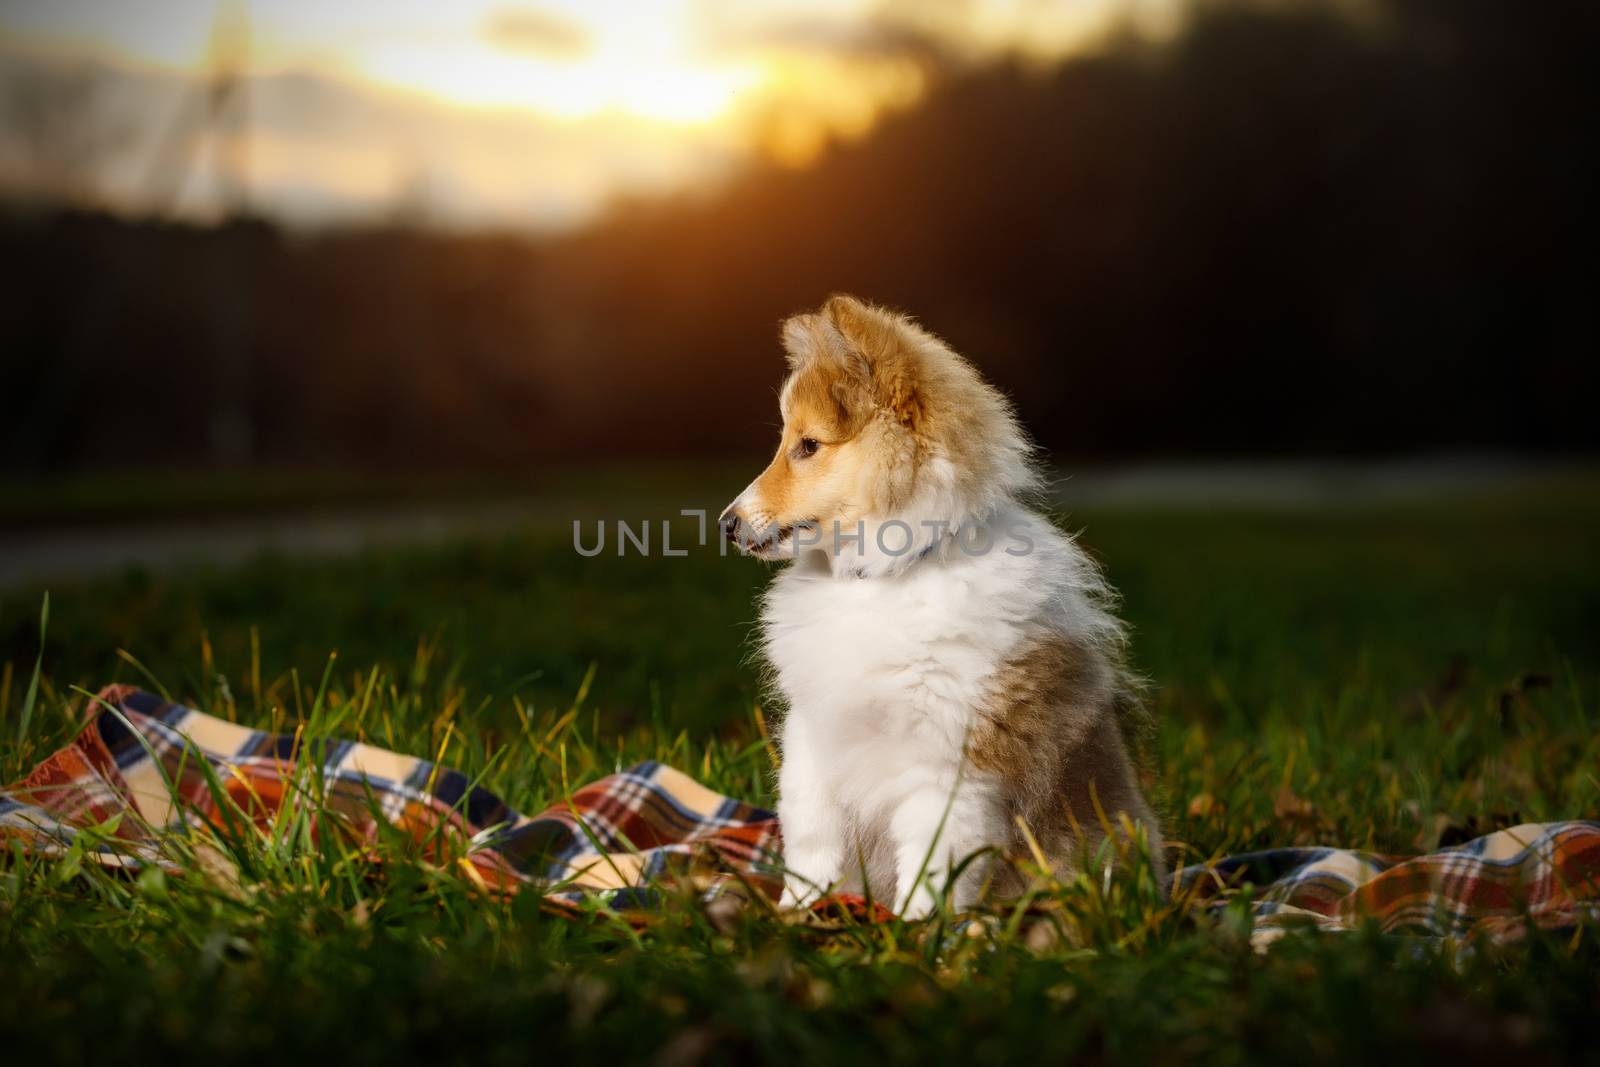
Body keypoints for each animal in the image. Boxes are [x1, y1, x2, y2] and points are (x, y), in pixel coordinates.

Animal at [726, 295, 1164, 915]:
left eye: (807, 446)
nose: (726, 523)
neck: (879, 580)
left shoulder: (947, 771)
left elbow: (932, 868)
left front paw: (914, 929)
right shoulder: (814, 742)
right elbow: (811, 842)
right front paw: (797, 914)